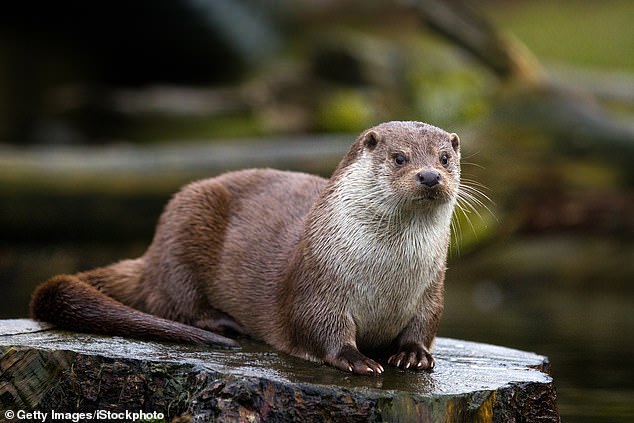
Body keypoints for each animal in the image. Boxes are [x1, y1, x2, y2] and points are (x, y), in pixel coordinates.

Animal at [29, 121, 460, 376]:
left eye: (445, 158)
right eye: (399, 157)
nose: (429, 176)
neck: (387, 278)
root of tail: (151, 255)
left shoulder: (432, 290)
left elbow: (426, 325)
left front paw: (413, 355)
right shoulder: (318, 284)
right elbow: (320, 328)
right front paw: (357, 360)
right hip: (185, 223)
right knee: (171, 302)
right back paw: (223, 324)